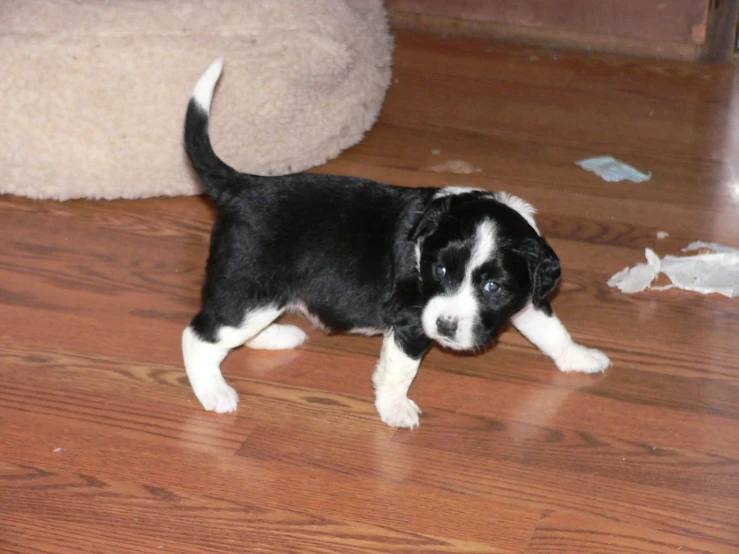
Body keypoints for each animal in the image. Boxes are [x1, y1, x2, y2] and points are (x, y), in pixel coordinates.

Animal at [182, 58, 608, 426]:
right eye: (439, 270)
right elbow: (399, 370)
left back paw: (277, 336)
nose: (446, 326)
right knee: (200, 336)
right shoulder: (410, 321)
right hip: (251, 288)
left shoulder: (527, 297)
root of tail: (242, 186)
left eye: (492, 287)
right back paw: (215, 393)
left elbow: (551, 329)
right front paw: (395, 410)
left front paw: (581, 357)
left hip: (261, 297)